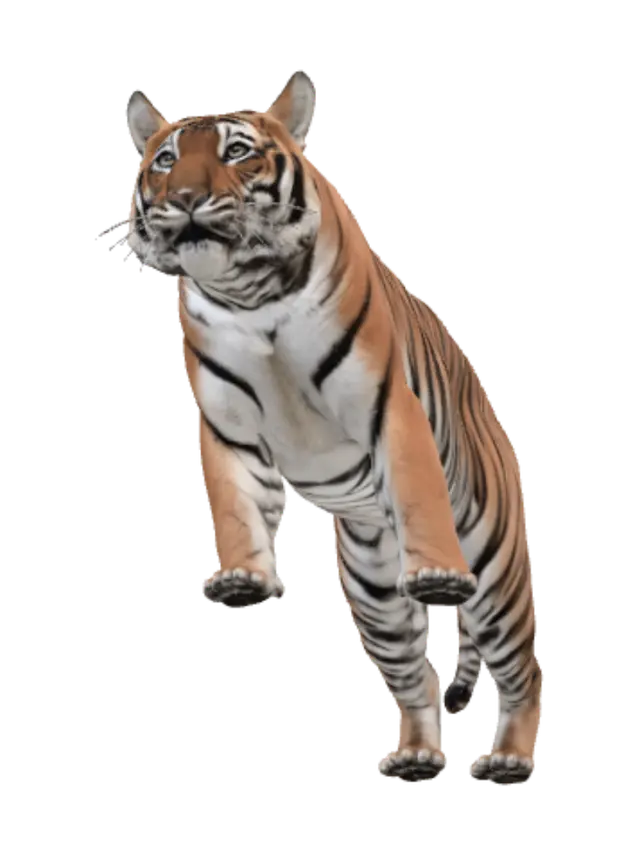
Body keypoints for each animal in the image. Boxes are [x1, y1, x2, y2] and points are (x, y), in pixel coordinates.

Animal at [125, 71, 543, 786]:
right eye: (166, 160)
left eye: (237, 152)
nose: (184, 199)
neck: (251, 296)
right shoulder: (226, 424)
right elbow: (235, 507)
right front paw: (242, 578)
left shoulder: (387, 404)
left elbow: (417, 490)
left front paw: (436, 573)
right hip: (374, 591)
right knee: (413, 678)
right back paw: (415, 757)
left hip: (496, 571)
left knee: (522, 668)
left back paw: (510, 760)